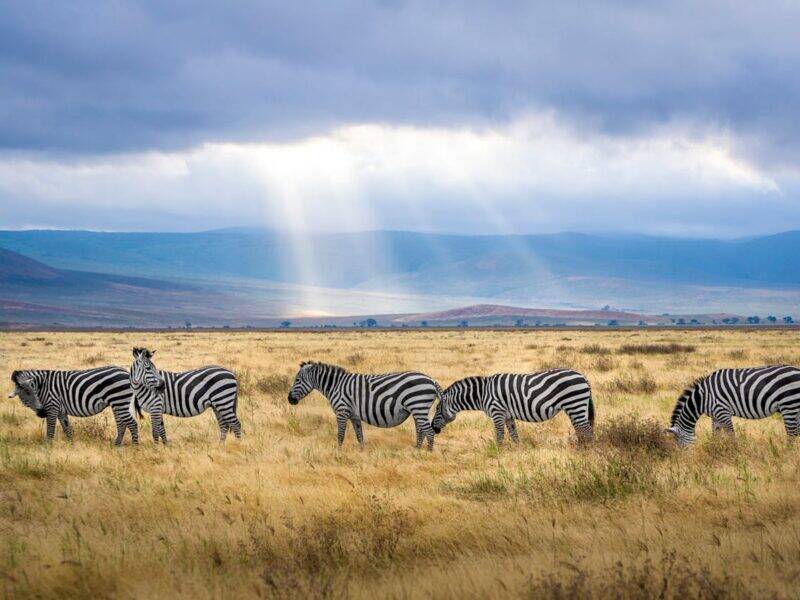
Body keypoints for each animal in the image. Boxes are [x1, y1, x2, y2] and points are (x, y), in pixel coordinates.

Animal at [7, 367, 138, 445]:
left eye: (33, 392)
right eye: (26, 394)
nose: (41, 412)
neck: (43, 386)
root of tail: (126, 372)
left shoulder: (52, 406)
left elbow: (50, 430)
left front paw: (47, 448)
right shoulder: (61, 411)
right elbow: (67, 429)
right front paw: (71, 446)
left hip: (120, 401)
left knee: (132, 423)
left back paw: (135, 447)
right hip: (117, 404)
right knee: (121, 424)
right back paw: (117, 445)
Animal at [287, 361, 442, 450]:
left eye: (297, 380)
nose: (289, 400)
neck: (336, 385)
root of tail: (431, 380)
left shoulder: (342, 411)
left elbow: (340, 435)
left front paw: (338, 452)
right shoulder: (354, 415)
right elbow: (359, 435)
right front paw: (362, 452)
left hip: (418, 406)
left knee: (429, 431)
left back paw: (428, 454)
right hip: (418, 409)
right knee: (421, 430)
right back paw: (417, 450)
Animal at [431, 369, 595, 444]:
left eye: (437, 410)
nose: (433, 428)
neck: (483, 393)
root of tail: (583, 376)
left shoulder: (497, 412)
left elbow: (499, 435)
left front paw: (498, 452)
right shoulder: (508, 415)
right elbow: (514, 434)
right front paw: (517, 451)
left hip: (575, 404)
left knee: (587, 430)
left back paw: (587, 452)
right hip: (575, 407)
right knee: (581, 429)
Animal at [666, 365, 800, 447]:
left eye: (678, 441)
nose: (683, 459)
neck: (703, 398)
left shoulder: (723, 412)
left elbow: (731, 435)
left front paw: (735, 452)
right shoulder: (715, 416)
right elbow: (715, 434)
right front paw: (714, 450)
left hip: (789, 405)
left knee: (792, 434)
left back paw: (785, 455)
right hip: (795, 407)